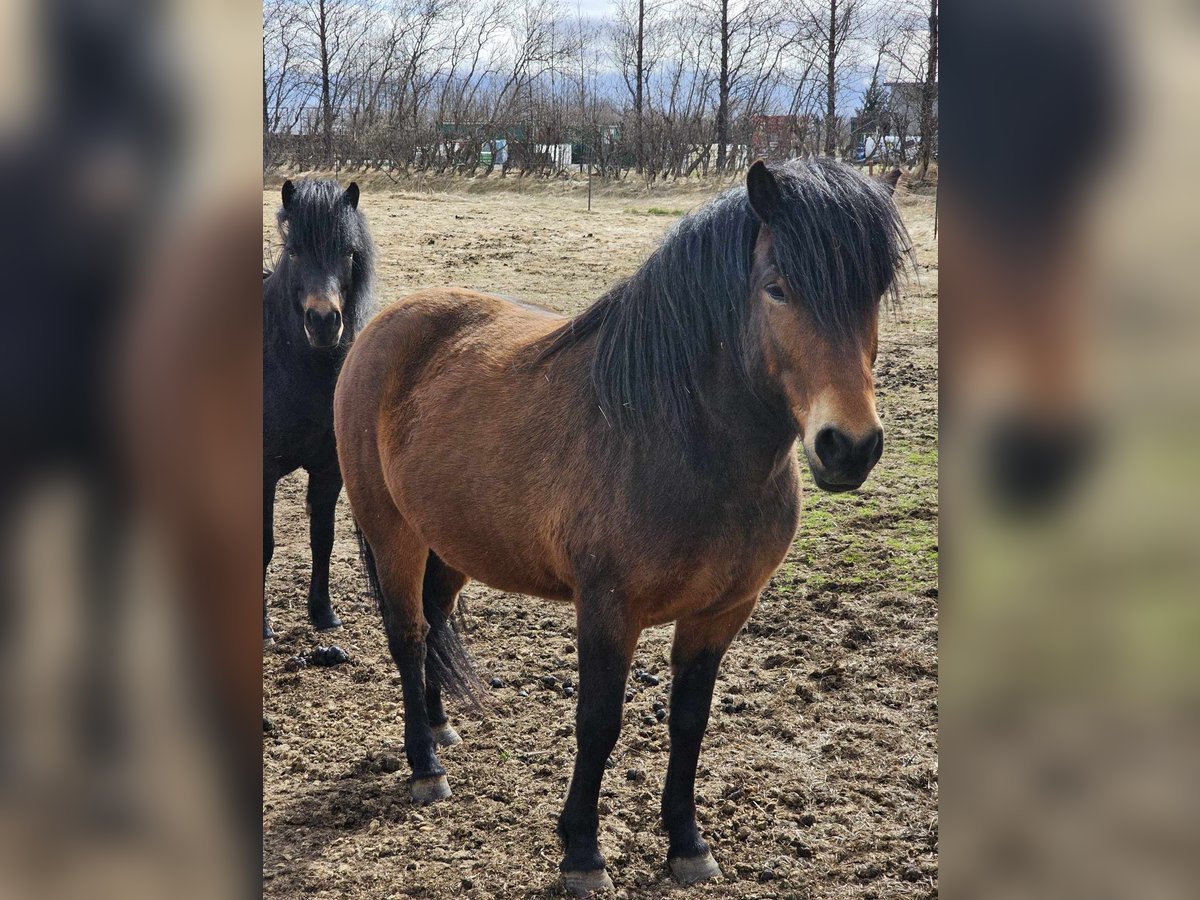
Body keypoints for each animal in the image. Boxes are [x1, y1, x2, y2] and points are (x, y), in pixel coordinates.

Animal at [333, 160, 902, 897]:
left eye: (874, 294)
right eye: (777, 288)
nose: (849, 447)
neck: (676, 437)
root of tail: (382, 328)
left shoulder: (722, 612)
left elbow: (691, 722)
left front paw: (688, 843)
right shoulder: (608, 608)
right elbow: (598, 722)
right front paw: (582, 852)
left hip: (450, 542)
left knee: (433, 622)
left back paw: (441, 726)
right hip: (392, 532)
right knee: (407, 635)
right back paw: (426, 766)